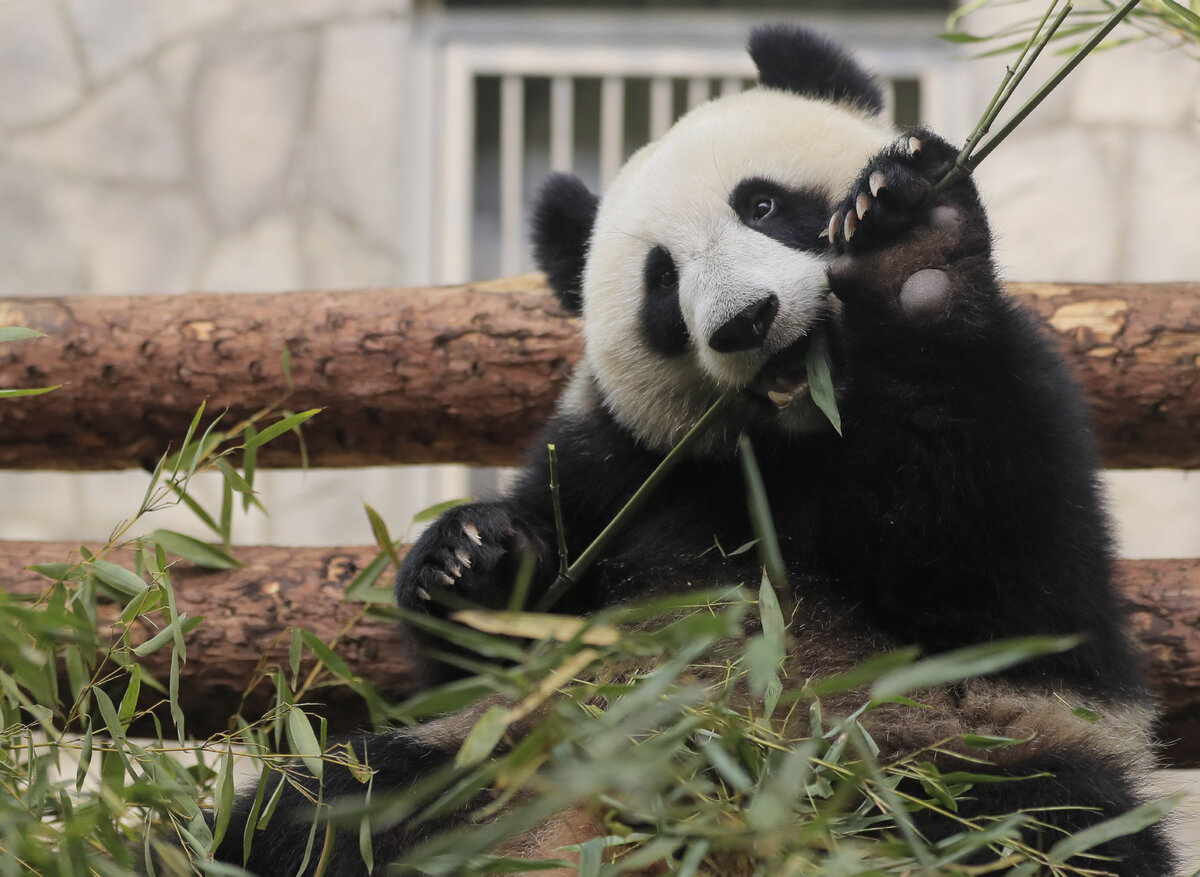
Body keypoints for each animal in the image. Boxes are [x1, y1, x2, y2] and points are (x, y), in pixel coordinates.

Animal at [208, 23, 1171, 873]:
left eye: (764, 204)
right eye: (661, 283)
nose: (747, 320)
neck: (789, 441)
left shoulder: (1025, 416)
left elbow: (994, 571)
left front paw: (913, 256)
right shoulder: (609, 464)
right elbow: (488, 656)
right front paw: (468, 558)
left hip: (938, 754)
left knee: (1035, 822)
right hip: (495, 764)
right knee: (318, 808)